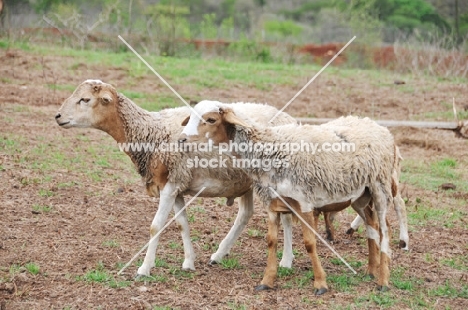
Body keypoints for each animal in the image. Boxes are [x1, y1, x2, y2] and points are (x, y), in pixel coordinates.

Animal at [54, 79, 298, 276]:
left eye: (85, 99)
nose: (57, 116)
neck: (151, 132)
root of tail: (290, 118)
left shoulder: (171, 184)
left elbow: (156, 226)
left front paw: (144, 268)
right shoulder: (176, 185)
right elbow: (182, 224)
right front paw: (189, 263)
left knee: (285, 217)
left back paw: (286, 261)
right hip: (244, 181)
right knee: (245, 214)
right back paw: (219, 254)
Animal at [178, 101, 398, 294]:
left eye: (211, 119)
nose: (181, 140)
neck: (269, 149)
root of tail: (377, 126)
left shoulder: (304, 202)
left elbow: (309, 243)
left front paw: (320, 284)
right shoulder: (272, 204)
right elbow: (271, 241)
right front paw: (267, 281)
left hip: (380, 186)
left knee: (385, 230)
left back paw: (383, 282)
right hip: (360, 195)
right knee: (371, 225)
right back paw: (371, 271)